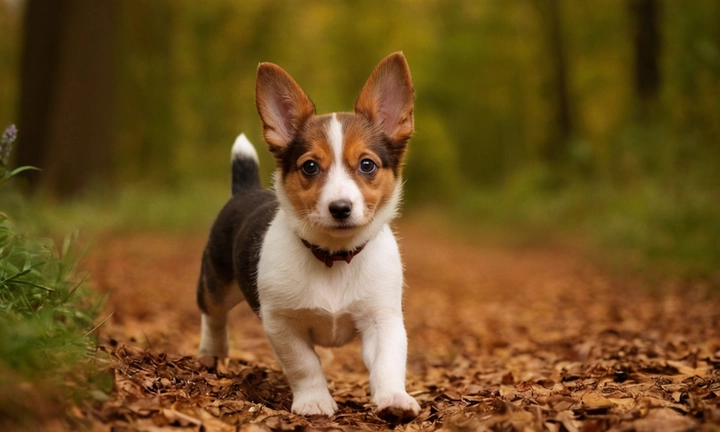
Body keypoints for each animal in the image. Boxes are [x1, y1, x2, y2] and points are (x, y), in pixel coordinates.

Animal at [198, 51, 422, 422]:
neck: (334, 255)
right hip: (216, 284)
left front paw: (394, 399)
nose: (340, 208)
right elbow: (305, 365)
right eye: (310, 167)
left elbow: (388, 363)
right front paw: (314, 401)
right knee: (213, 316)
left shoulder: (383, 319)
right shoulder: (282, 323)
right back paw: (211, 355)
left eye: (367, 165)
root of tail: (244, 190)